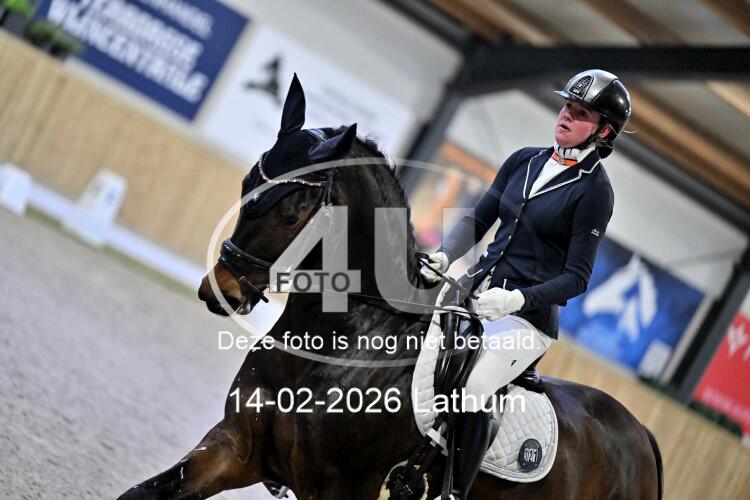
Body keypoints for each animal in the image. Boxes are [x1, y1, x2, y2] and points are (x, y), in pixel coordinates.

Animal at [118, 76, 663, 500]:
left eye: (291, 212)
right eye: (248, 182)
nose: (221, 290)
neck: (345, 345)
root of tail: (640, 435)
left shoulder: (342, 489)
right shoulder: (234, 447)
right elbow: (144, 492)